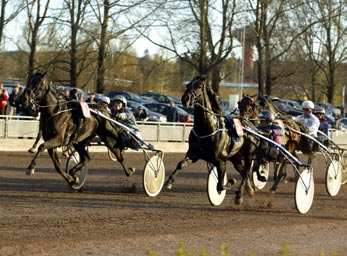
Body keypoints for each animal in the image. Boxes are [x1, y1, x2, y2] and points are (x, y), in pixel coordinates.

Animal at [166, 74, 260, 204]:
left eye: (199, 86)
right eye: (187, 85)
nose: (185, 99)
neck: (207, 129)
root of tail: (252, 126)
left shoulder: (221, 161)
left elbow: (220, 185)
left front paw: (231, 181)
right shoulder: (194, 154)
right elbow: (180, 164)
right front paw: (169, 182)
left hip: (249, 154)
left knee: (246, 172)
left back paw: (240, 195)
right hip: (236, 157)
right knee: (242, 171)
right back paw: (250, 190)